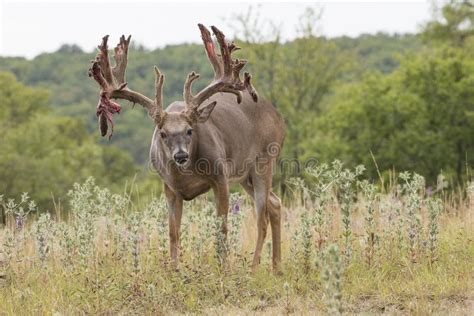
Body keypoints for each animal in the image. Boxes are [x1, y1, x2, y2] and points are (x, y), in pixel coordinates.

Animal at [88, 24, 286, 272]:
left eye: (190, 130)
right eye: (162, 133)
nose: (180, 155)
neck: (186, 174)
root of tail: (278, 117)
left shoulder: (220, 177)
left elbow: (221, 228)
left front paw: (222, 268)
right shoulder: (170, 188)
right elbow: (173, 232)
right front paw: (174, 270)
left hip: (264, 160)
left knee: (262, 217)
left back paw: (254, 267)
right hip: (245, 175)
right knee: (275, 204)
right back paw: (276, 267)